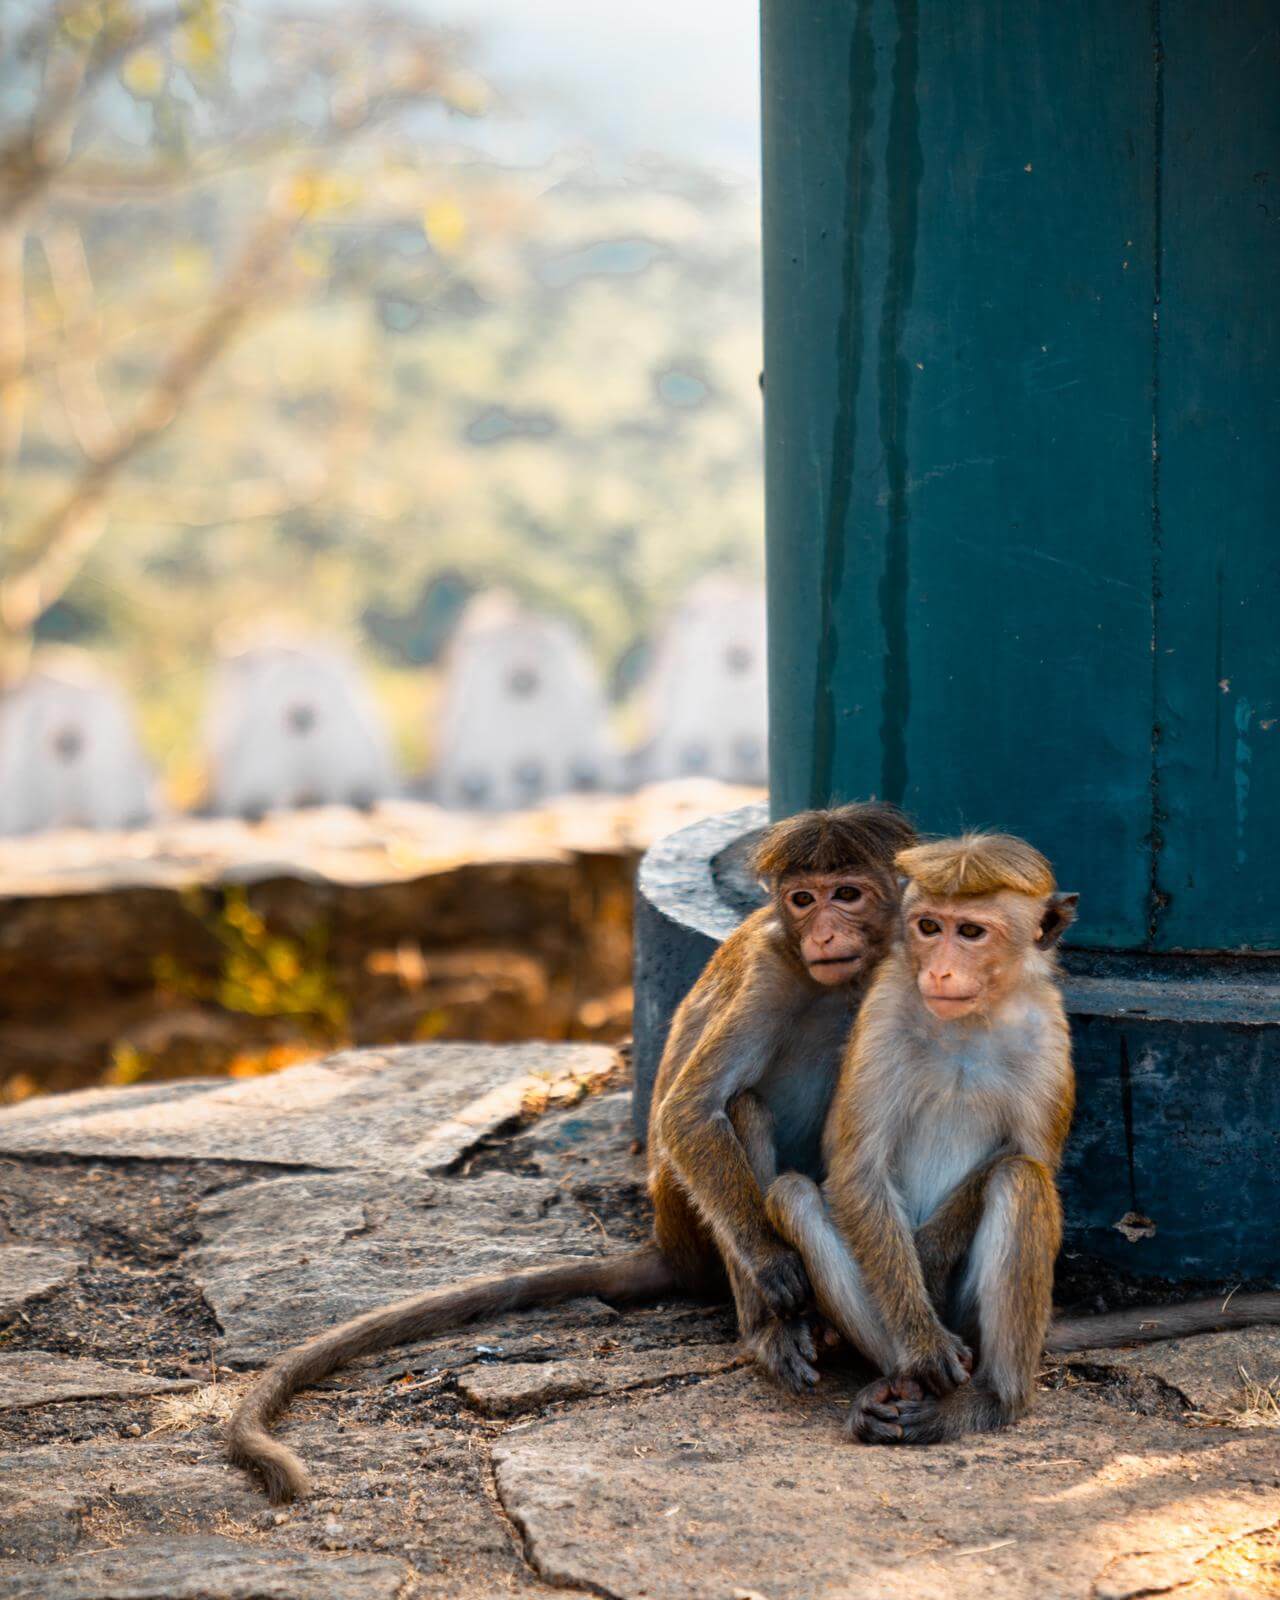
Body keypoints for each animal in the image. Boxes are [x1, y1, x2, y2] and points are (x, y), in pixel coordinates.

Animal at [225, 800, 915, 1497]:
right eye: (803, 900)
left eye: (846, 895)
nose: (822, 934)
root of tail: (664, 1243)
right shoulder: (772, 967)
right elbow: (689, 1112)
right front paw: (774, 1268)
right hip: (688, 1221)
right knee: (740, 1108)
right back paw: (768, 1335)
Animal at [761, 838, 1280, 1452]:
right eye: (928, 926)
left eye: (970, 932)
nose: (939, 969)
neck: (970, 1018)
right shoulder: (883, 1010)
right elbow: (858, 1171)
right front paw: (923, 1343)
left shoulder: (1049, 1031)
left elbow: (1032, 1157)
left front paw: (931, 1250)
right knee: (794, 1196)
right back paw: (900, 1384)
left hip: (972, 1315)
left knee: (1021, 1181)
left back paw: (990, 1400)